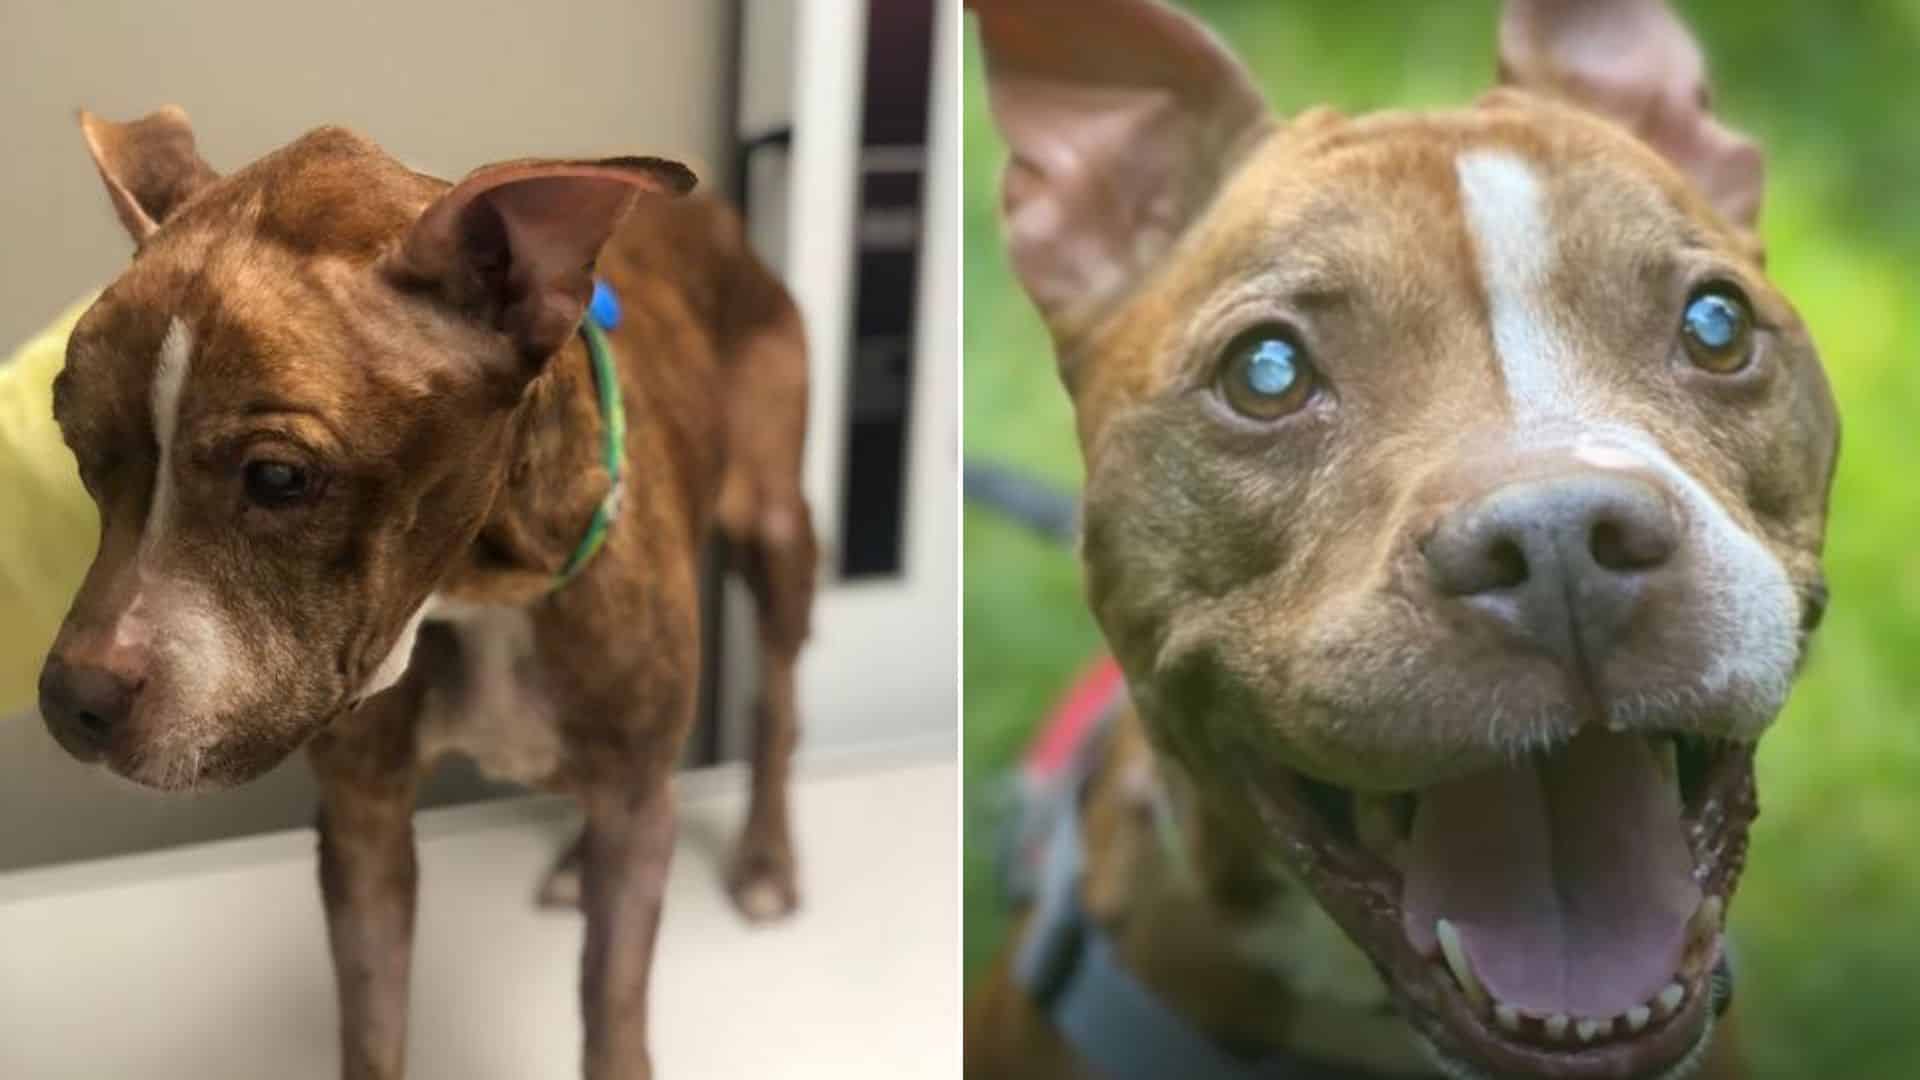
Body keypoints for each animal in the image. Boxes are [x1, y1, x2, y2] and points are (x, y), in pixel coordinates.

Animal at [41, 109, 814, 1076]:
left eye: (279, 477)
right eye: (80, 452)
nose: (71, 702)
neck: (482, 590)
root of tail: (718, 223)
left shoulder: (637, 801)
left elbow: (614, 1010)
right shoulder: (364, 819)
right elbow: (374, 1027)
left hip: (776, 534)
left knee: (774, 702)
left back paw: (765, 860)